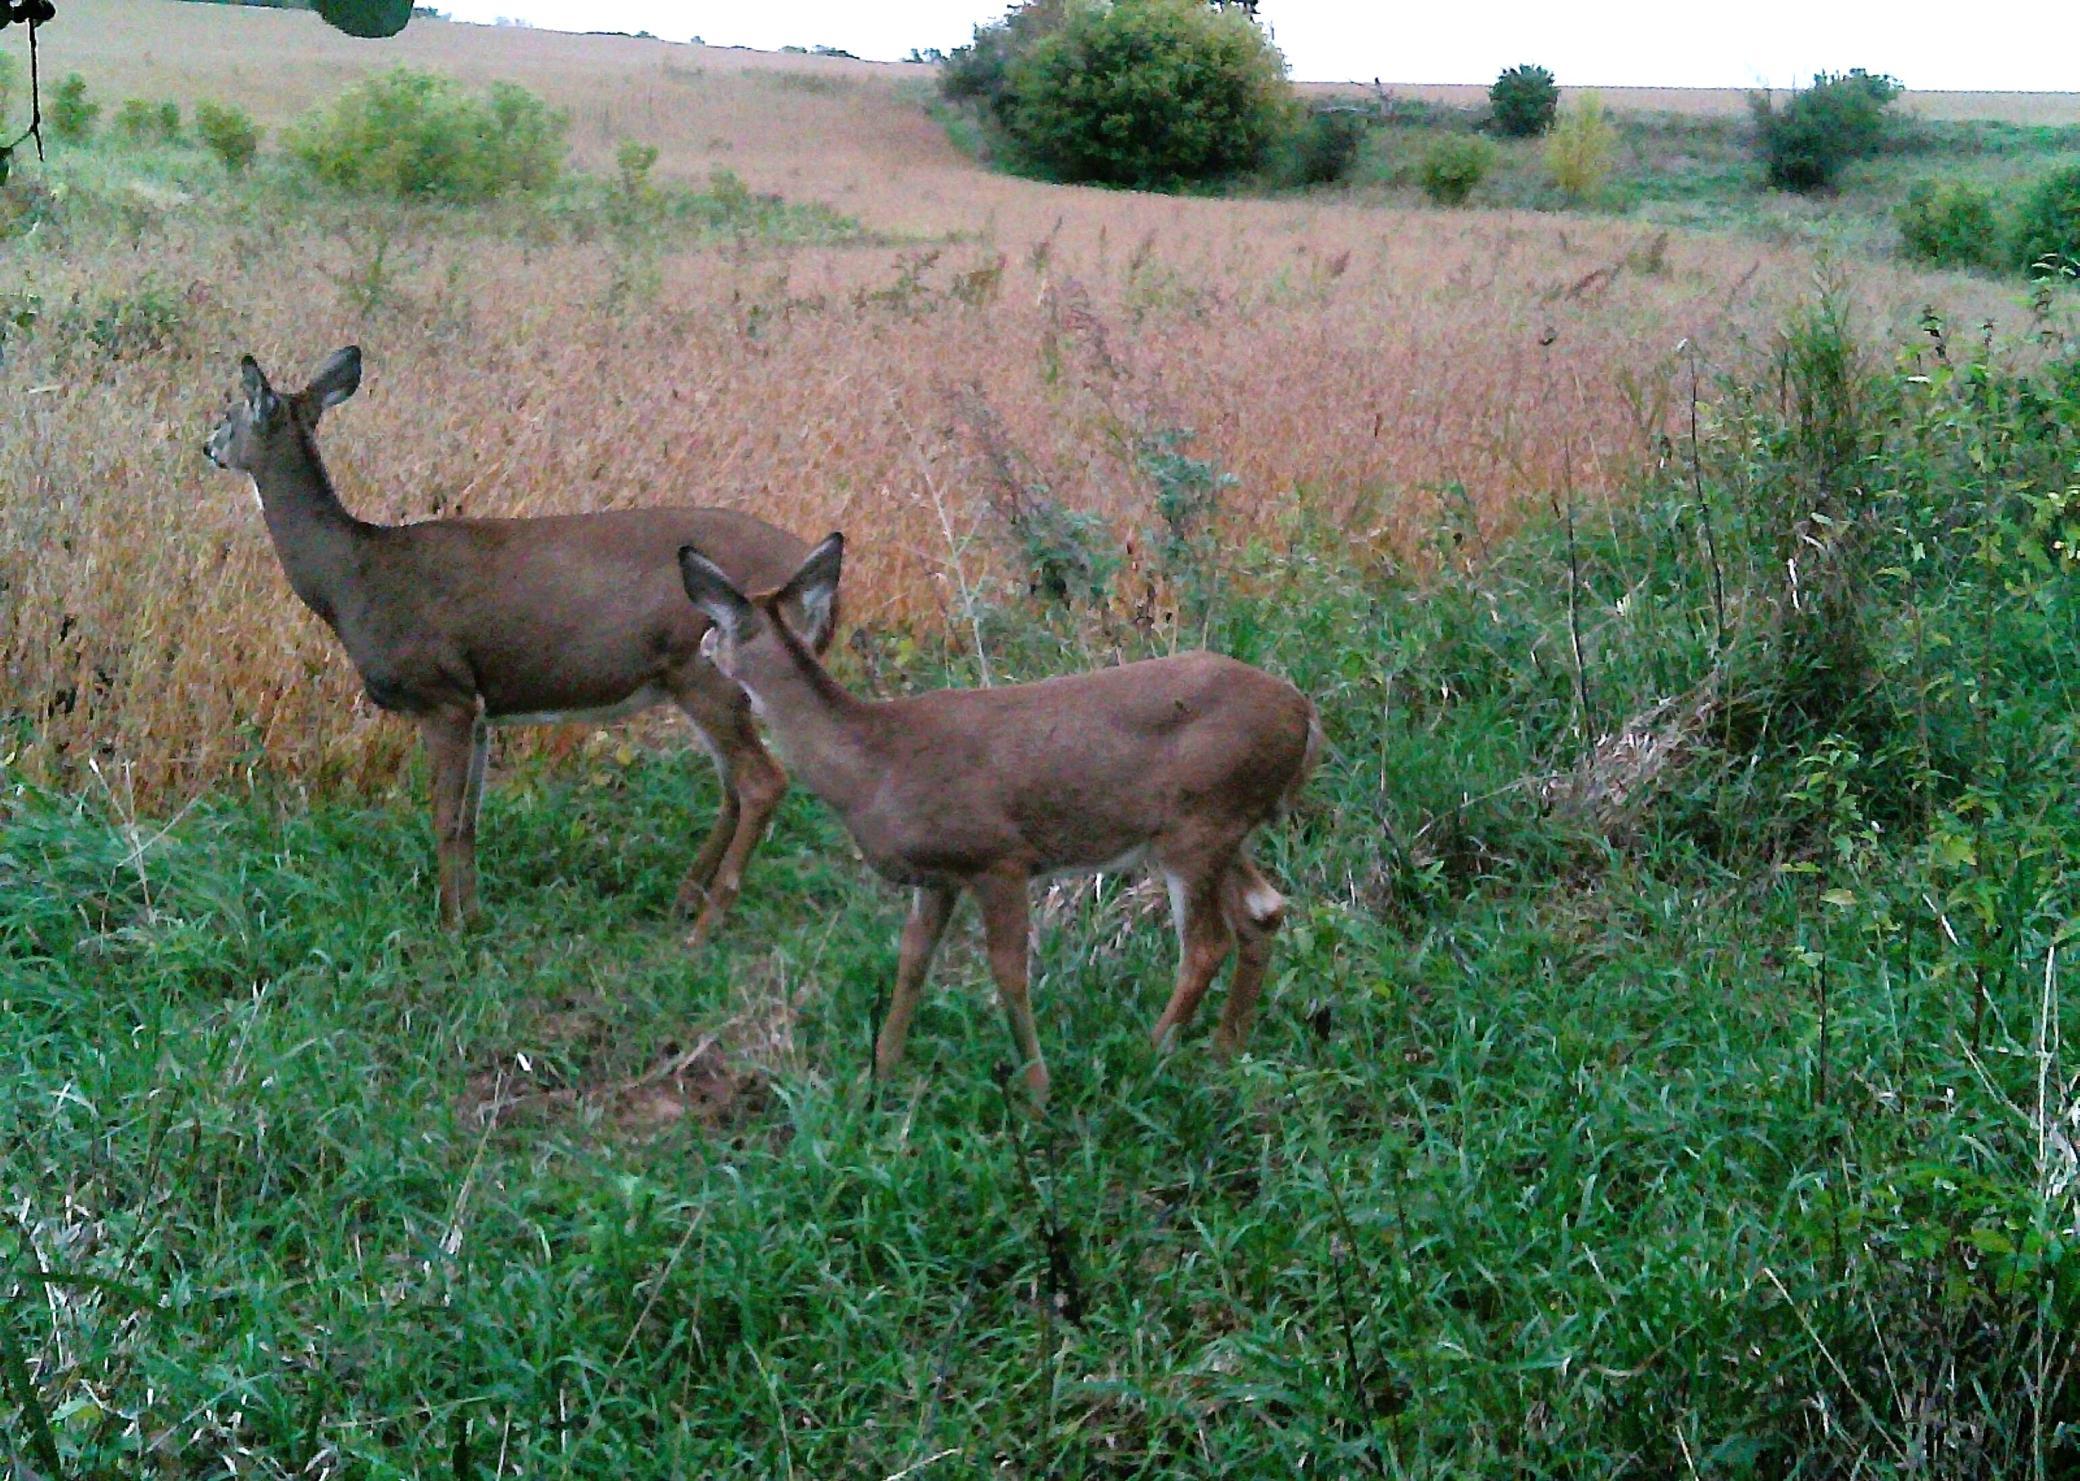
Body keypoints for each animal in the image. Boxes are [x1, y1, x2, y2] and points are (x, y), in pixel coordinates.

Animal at [203, 345, 836, 936]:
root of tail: (813, 576)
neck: (351, 577)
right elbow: (470, 818)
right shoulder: (477, 704)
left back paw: (705, 925)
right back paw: (685, 902)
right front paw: (475, 916)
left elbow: (446, 817)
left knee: (761, 782)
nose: (207, 446)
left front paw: (450, 925)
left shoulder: (441, 692)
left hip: (709, 673)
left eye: (230, 414)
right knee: (735, 785)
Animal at [676, 533, 1321, 1105]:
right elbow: (913, 961)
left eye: (719, 623)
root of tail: (1305, 714)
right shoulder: (937, 877)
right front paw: (882, 1074)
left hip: (1197, 827)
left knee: (1207, 944)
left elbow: (1008, 971)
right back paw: (1223, 1049)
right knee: (1265, 910)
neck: (873, 765)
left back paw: (1147, 1056)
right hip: (1221, 827)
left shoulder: (999, 856)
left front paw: (1036, 1093)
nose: (703, 643)